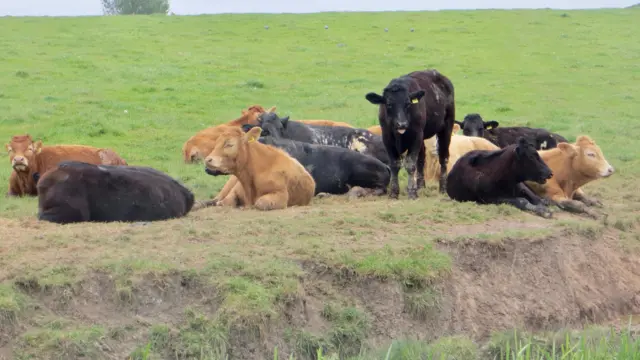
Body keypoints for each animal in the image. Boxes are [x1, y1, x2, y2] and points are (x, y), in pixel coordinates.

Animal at [364, 69, 456, 198]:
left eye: (408, 103)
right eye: (389, 104)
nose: (401, 124)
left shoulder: (416, 136)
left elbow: (410, 164)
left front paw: (412, 192)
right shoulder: (387, 138)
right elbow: (395, 164)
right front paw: (394, 192)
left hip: (446, 126)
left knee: (443, 157)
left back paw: (442, 188)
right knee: (421, 159)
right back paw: (420, 186)